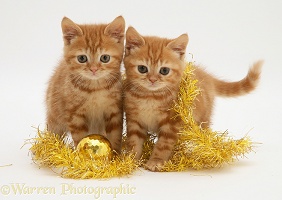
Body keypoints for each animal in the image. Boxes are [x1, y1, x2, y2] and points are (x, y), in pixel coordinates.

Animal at [45, 16, 125, 152]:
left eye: (105, 58)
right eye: (82, 58)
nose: (93, 69)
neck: (96, 88)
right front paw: (81, 155)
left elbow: (115, 136)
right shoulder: (75, 115)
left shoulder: (114, 111)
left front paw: (115, 155)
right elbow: (80, 138)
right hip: (54, 115)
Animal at [123, 26, 262, 170]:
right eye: (142, 68)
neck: (150, 96)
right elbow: (133, 141)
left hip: (204, 119)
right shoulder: (134, 120)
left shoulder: (172, 123)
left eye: (164, 71)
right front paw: (130, 160)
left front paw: (156, 161)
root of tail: (207, 77)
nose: (152, 80)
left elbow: (163, 144)